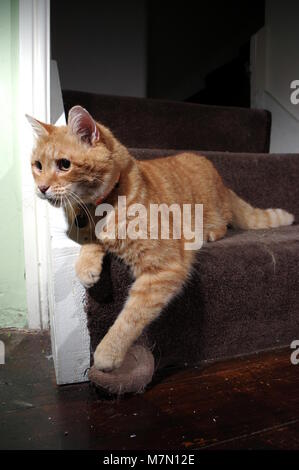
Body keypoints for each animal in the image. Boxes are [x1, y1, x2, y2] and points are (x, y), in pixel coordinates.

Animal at [28, 105, 296, 370]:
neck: (100, 207)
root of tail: (222, 182)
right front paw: (87, 265)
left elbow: (130, 317)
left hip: (213, 212)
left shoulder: (165, 268)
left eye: (64, 165)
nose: (41, 188)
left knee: (223, 223)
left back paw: (209, 233)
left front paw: (107, 352)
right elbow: (89, 241)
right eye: (38, 165)